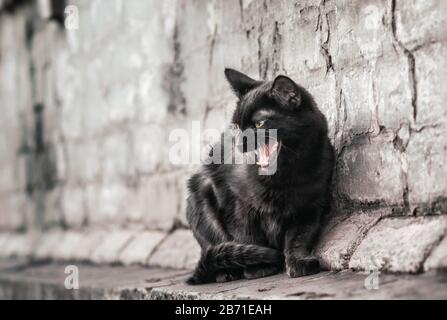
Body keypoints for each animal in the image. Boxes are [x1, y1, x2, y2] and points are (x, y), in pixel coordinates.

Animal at [184, 69, 334, 284]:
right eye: (237, 125)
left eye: (259, 123)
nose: (239, 143)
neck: (286, 175)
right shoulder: (236, 204)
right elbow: (248, 235)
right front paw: (259, 266)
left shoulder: (310, 206)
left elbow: (299, 238)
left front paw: (298, 263)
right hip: (200, 197)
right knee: (214, 244)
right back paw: (226, 271)